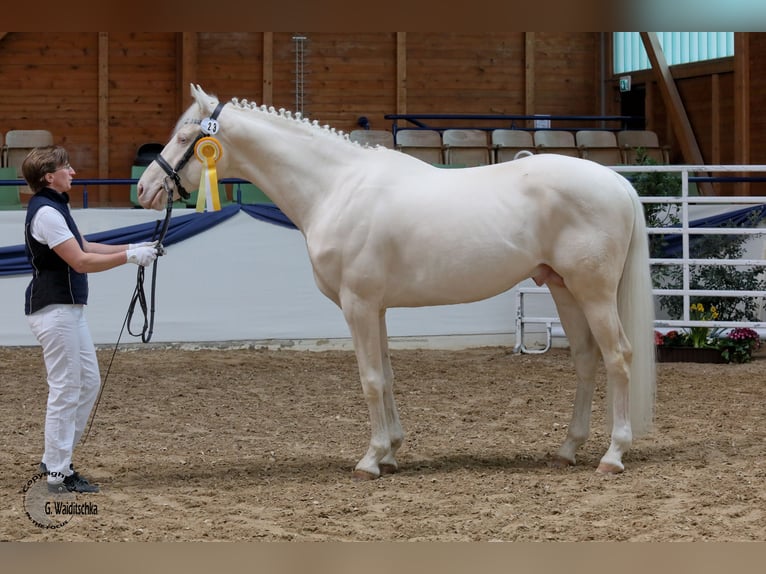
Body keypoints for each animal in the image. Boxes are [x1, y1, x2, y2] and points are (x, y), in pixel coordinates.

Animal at [136, 85, 656, 480]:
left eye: (185, 136)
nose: (144, 189)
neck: (336, 188)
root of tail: (616, 181)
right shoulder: (377, 308)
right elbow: (385, 376)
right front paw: (391, 451)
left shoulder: (358, 305)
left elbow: (369, 379)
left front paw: (370, 460)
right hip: (563, 288)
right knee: (587, 360)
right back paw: (568, 449)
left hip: (593, 292)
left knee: (618, 356)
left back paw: (613, 455)